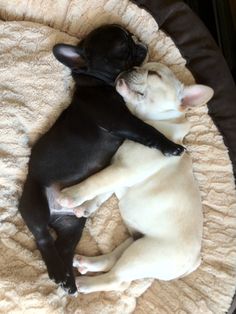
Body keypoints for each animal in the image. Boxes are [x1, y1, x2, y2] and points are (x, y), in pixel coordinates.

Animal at [18, 23, 184, 294]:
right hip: (35, 205)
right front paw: (171, 147)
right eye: (123, 45)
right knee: (43, 238)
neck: (96, 84)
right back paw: (58, 272)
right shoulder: (120, 120)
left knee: (64, 247)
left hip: (73, 226)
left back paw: (68, 279)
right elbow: (147, 130)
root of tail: (55, 212)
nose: (140, 41)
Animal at [57, 62, 214, 294]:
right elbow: (102, 190)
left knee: (118, 280)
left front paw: (71, 195)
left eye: (154, 74)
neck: (157, 123)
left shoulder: (123, 170)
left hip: (141, 254)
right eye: (142, 65)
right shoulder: (118, 169)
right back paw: (88, 263)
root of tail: (194, 262)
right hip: (134, 241)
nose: (132, 66)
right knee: (113, 260)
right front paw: (85, 206)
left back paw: (85, 283)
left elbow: (97, 180)